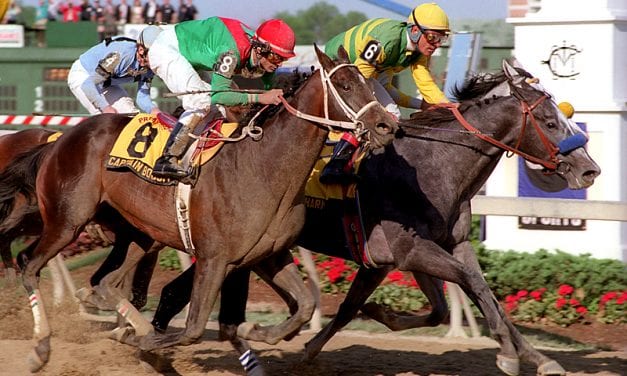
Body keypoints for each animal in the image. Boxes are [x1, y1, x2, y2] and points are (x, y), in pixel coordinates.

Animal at [13, 45, 398, 372]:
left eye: (370, 84)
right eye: (345, 85)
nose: (387, 125)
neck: (263, 166)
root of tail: (58, 139)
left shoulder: (267, 255)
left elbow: (304, 306)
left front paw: (261, 332)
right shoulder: (214, 259)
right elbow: (194, 329)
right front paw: (149, 343)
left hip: (139, 233)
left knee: (106, 282)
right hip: (67, 220)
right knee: (28, 264)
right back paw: (42, 349)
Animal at [142, 58, 600, 376]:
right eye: (549, 121)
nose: (589, 170)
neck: (436, 165)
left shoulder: (432, 249)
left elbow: (465, 298)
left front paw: (539, 358)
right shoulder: (408, 250)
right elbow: (470, 287)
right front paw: (507, 355)